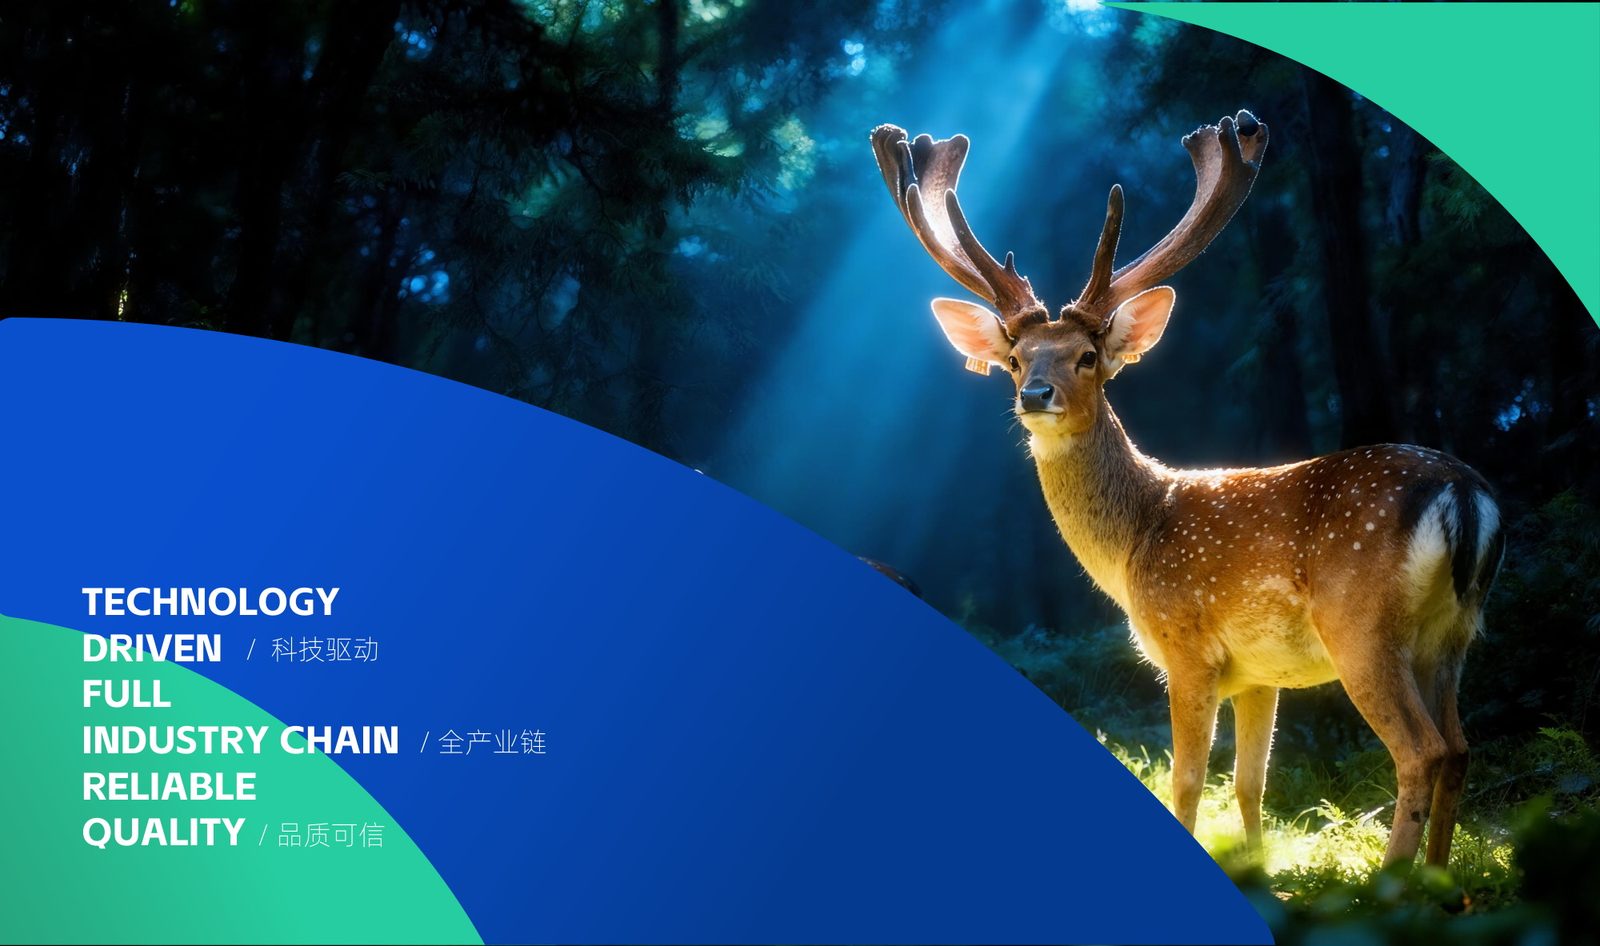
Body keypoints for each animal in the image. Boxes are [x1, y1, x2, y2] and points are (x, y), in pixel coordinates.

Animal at [869, 111, 1504, 869]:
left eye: (1088, 356)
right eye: (1017, 358)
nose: (1035, 395)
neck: (1135, 541)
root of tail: (1464, 495)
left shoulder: (1187, 648)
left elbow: (1188, 781)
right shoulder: (1260, 675)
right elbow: (1251, 785)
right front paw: (1257, 870)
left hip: (1363, 624)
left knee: (1422, 750)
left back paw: (1392, 880)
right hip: (1453, 633)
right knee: (1461, 747)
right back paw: (1438, 881)